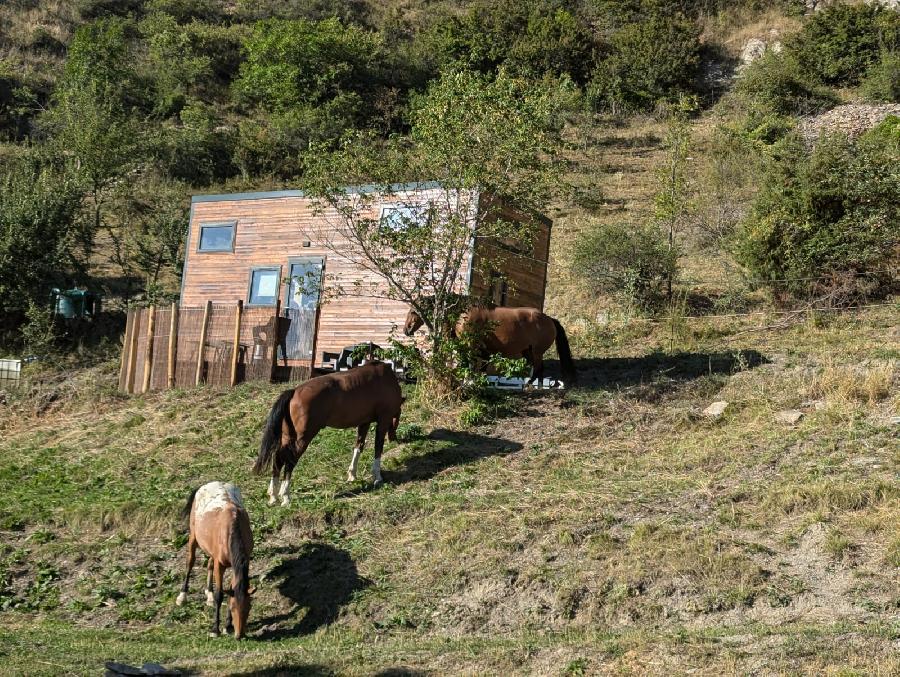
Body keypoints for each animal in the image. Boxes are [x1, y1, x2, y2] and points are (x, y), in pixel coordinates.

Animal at [177, 480, 255, 640]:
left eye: (249, 607)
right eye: (233, 607)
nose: (240, 635)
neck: (232, 529)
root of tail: (206, 484)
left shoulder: (236, 564)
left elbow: (231, 589)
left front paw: (227, 626)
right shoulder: (221, 565)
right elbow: (220, 595)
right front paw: (215, 629)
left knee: (209, 564)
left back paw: (209, 594)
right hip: (193, 537)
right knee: (190, 562)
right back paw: (182, 596)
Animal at [255, 362, 406, 504]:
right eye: (397, 420)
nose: (394, 438)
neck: (385, 379)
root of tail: (294, 391)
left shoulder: (364, 422)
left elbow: (358, 446)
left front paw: (352, 474)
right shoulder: (383, 420)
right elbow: (378, 449)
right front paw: (377, 476)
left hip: (288, 437)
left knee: (278, 459)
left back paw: (273, 495)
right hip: (302, 439)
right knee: (289, 461)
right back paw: (285, 495)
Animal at [402, 302, 576, 386]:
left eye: (412, 312)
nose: (406, 330)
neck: (463, 315)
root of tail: (549, 319)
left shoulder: (472, 347)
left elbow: (471, 366)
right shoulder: (483, 352)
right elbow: (480, 369)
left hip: (536, 352)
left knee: (539, 369)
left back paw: (530, 385)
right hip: (528, 352)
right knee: (537, 369)